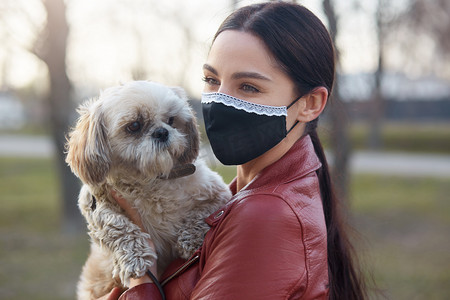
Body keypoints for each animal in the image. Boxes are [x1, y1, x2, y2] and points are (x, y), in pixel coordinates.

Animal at [65, 81, 230, 298]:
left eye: (171, 120)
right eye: (134, 125)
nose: (162, 132)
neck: (149, 179)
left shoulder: (217, 193)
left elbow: (204, 213)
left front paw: (190, 239)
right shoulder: (94, 204)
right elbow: (117, 226)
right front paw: (135, 257)